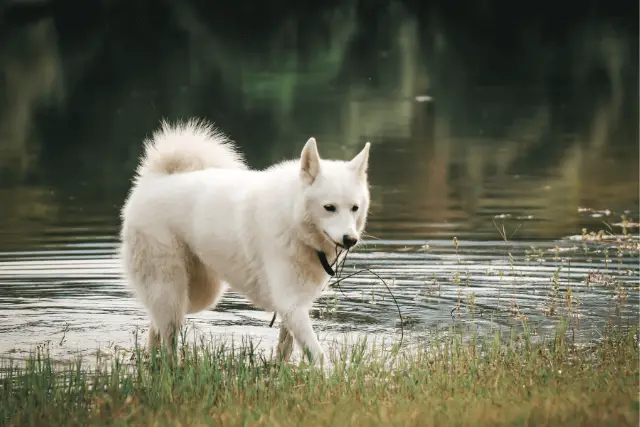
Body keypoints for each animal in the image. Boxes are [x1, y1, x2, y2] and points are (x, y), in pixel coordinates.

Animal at [119, 118, 370, 366]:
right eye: (329, 207)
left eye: (354, 208)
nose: (350, 239)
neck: (292, 216)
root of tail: (156, 179)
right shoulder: (291, 303)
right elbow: (318, 354)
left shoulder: (294, 306)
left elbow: (286, 346)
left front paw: (280, 370)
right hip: (170, 289)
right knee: (168, 336)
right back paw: (172, 369)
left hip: (198, 293)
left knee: (155, 326)